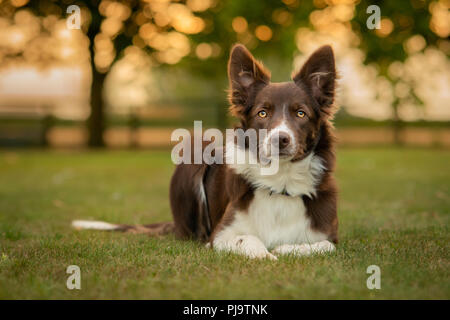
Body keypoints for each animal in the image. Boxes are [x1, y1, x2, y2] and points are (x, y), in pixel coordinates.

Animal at [72, 44, 338, 260]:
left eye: (301, 113)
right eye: (262, 113)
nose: (279, 140)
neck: (280, 182)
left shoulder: (330, 235)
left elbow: (324, 246)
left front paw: (285, 249)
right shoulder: (220, 235)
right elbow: (248, 239)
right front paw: (268, 254)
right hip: (195, 155)